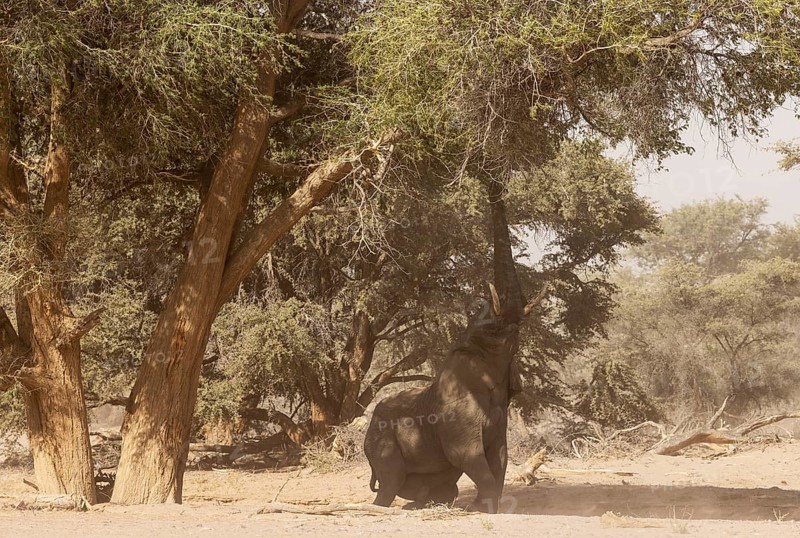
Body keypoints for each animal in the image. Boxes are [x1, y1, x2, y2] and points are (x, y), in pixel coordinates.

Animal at [363, 314, 522, 513]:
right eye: (489, 334)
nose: (514, 324)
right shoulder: (456, 414)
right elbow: (464, 455)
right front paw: (481, 509)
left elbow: (500, 456)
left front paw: (480, 508)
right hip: (380, 439)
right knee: (391, 481)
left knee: (447, 490)